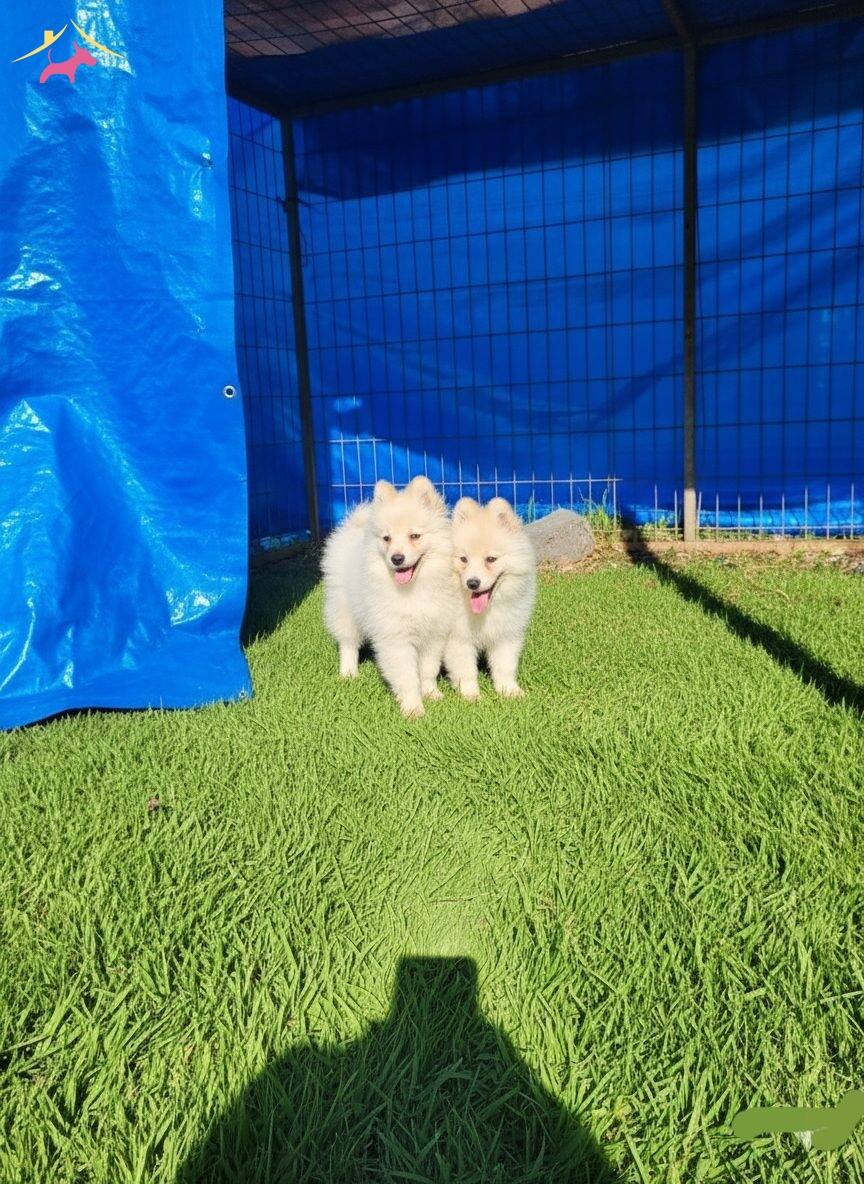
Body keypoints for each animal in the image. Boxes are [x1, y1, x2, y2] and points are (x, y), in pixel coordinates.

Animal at [322, 476, 457, 718]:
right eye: (387, 538)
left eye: (414, 536)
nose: (396, 558)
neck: (414, 589)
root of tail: (351, 528)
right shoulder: (396, 638)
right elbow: (407, 676)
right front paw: (413, 709)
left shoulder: (434, 634)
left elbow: (428, 669)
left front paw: (431, 693)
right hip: (344, 610)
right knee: (348, 643)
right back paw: (349, 672)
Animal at [444, 497, 536, 700]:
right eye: (463, 559)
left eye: (491, 559)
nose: (472, 582)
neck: (485, 613)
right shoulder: (458, 639)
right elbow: (466, 670)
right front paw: (471, 695)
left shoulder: (506, 635)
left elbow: (504, 666)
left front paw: (509, 691)